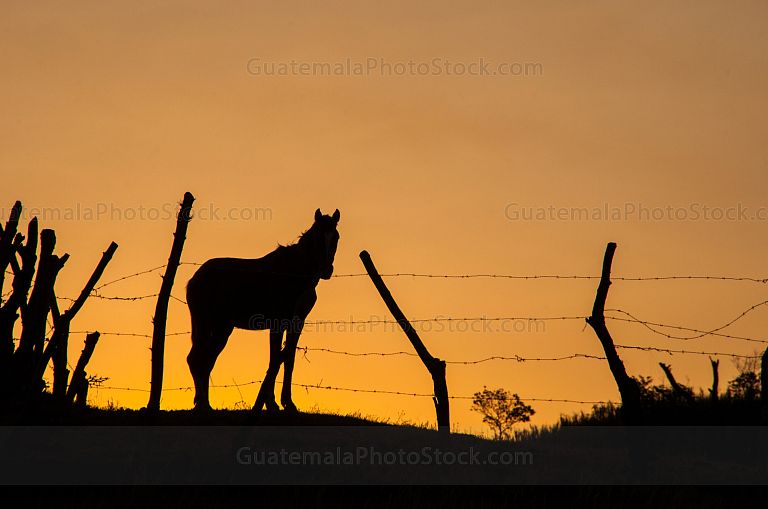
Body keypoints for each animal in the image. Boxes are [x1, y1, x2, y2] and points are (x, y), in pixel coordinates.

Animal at [186, 208, 340, 412]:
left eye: (336, 237)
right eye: (317, 236)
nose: (326, 270)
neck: (295, 274)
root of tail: (195, 278)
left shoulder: (297, 323)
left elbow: (288, 359)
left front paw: (288, 403)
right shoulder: (277, 323)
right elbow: (274, 359)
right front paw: (272, 403)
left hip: (222, 328)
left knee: (206, 361)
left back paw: (205, 404)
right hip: (206, 323)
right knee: (196, 359)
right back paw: (202, 404)